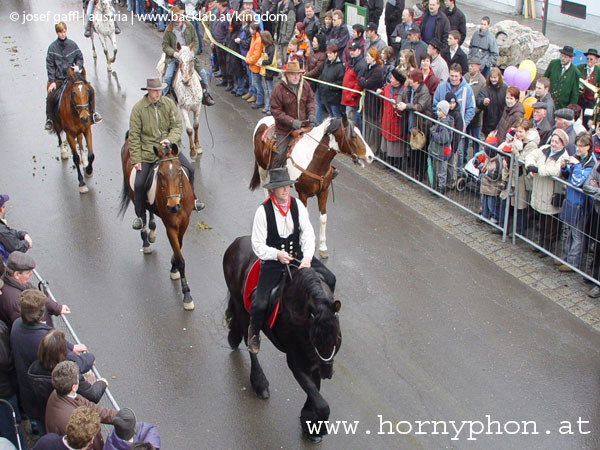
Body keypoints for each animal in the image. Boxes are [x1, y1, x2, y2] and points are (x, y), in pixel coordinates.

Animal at [120, 135, 197, 310]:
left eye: (179, 172)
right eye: (160, 175)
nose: (173, 206)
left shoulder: (184, 223)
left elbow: (178, 248)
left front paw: (173, 267)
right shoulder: (170, 227)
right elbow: (180, 258)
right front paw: (186, 295)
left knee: (149, 211)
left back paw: (152, 232)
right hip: (134, 193)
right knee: (141, 213)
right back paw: (146, 242)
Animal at [223, 237, 342, 442]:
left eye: (337, 337)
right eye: (316, 339)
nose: (328, 372)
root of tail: (235, 243)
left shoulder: (313, 360)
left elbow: (315, 390)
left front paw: (309, 423)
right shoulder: (296, 361)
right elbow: (321, 402)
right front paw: (316, 426)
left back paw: (233, 337)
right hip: (243, 308)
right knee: (250, 342)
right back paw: (260, 383)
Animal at [247, 116, 370, 258]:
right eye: (353, 136)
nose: (370, 157)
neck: (314, 161)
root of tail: (264, 119)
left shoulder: (324, 191)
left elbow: (323, 218)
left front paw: (322, 247)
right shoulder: (303, 193)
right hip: (262, 168)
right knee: (266, 188)